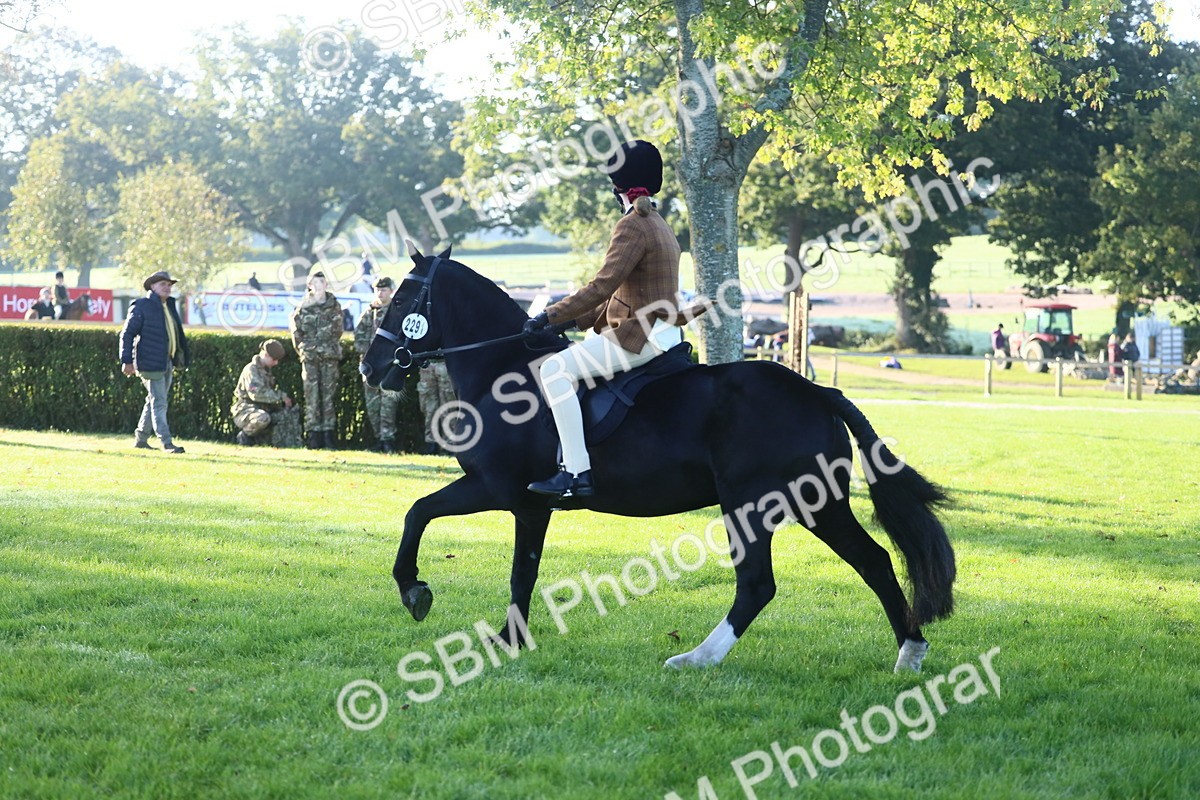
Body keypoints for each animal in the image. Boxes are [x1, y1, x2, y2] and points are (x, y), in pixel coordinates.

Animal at [360, 245, 956, 672]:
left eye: (399, 301)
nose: (370, 367)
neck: (501, 372)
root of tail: (812, 390)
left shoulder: (501, 490)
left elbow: (423, 516)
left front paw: (417, 593)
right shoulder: (526, 506)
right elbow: (518, 570)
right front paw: (510, 640)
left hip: (751, 504)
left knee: (758, 583)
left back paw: (697, 658)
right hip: (818, 503)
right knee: (874, 561)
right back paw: (909, 653)